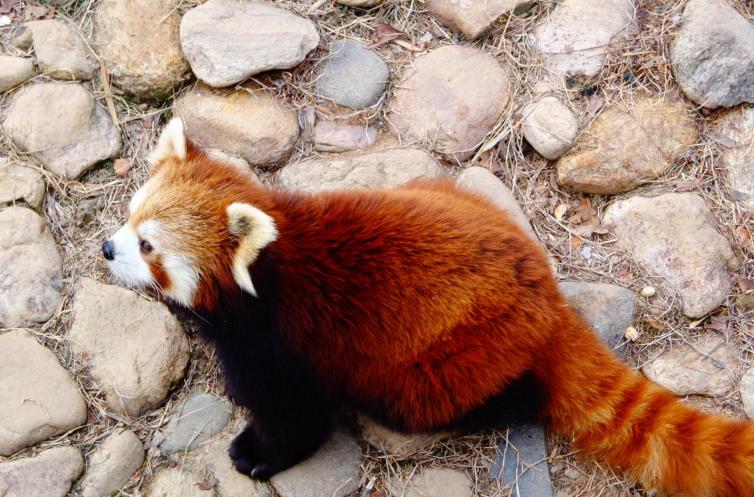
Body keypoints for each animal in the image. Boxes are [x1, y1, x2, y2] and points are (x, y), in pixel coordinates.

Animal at [104, 118, 752, 494]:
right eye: (131, 215)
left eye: (149, 246)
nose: (108, 248)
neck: (265, 272)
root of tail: (548, 299)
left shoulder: (282, 343)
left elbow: (297, 416)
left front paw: (257, 454)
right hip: (445, 191)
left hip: (438, 362)